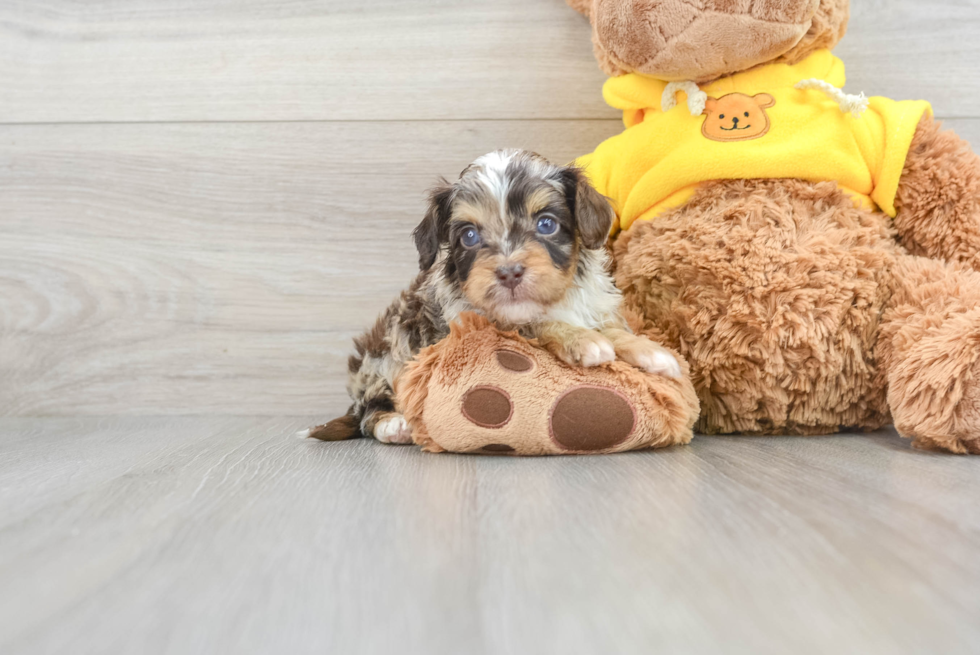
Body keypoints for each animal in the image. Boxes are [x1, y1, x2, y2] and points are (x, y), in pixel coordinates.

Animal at [306, 149, 680, 446]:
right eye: (469, 236)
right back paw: (394, 425)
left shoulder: (595, 304)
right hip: (384, 356)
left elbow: (615, 329)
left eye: (546, 224)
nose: (509, 272)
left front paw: (650, 351)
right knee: (368, 413)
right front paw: (581, 340)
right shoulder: (481, 321)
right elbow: (539, 324)